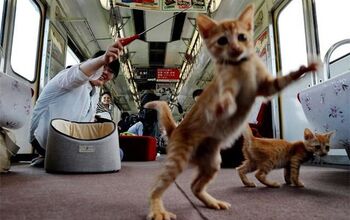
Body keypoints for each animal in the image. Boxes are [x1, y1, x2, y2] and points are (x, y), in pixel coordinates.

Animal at [144, 3, 318, 220]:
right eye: (222, 40)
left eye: (242, 37)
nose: (235, 48)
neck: (242, 67)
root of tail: (175, 129)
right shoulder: (226, 85)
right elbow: (226, 96)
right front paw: (224, 106)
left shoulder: (266, 87)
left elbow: (281, 81)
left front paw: (304, 69)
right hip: (179, 158)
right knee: (156, 187)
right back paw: (157, 209)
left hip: (212, 161)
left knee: (194, 186)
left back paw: (212, 202)